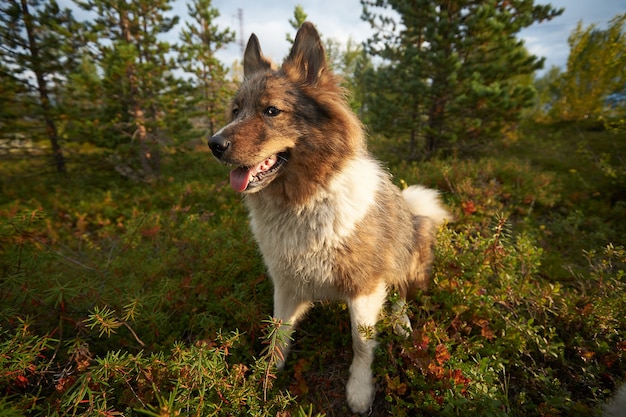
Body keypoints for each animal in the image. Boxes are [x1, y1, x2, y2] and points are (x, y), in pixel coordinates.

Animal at [208, 21, 448, 412]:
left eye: (271, 111)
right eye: (235, 111)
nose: (213, 144)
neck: (304, 202)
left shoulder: (366, 287)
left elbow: (362, 344)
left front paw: (359, 391)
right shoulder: (286, 285)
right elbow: (278, 335)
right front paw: (265, 380)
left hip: (411, 249)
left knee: (401, 294)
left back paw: (401, 324)